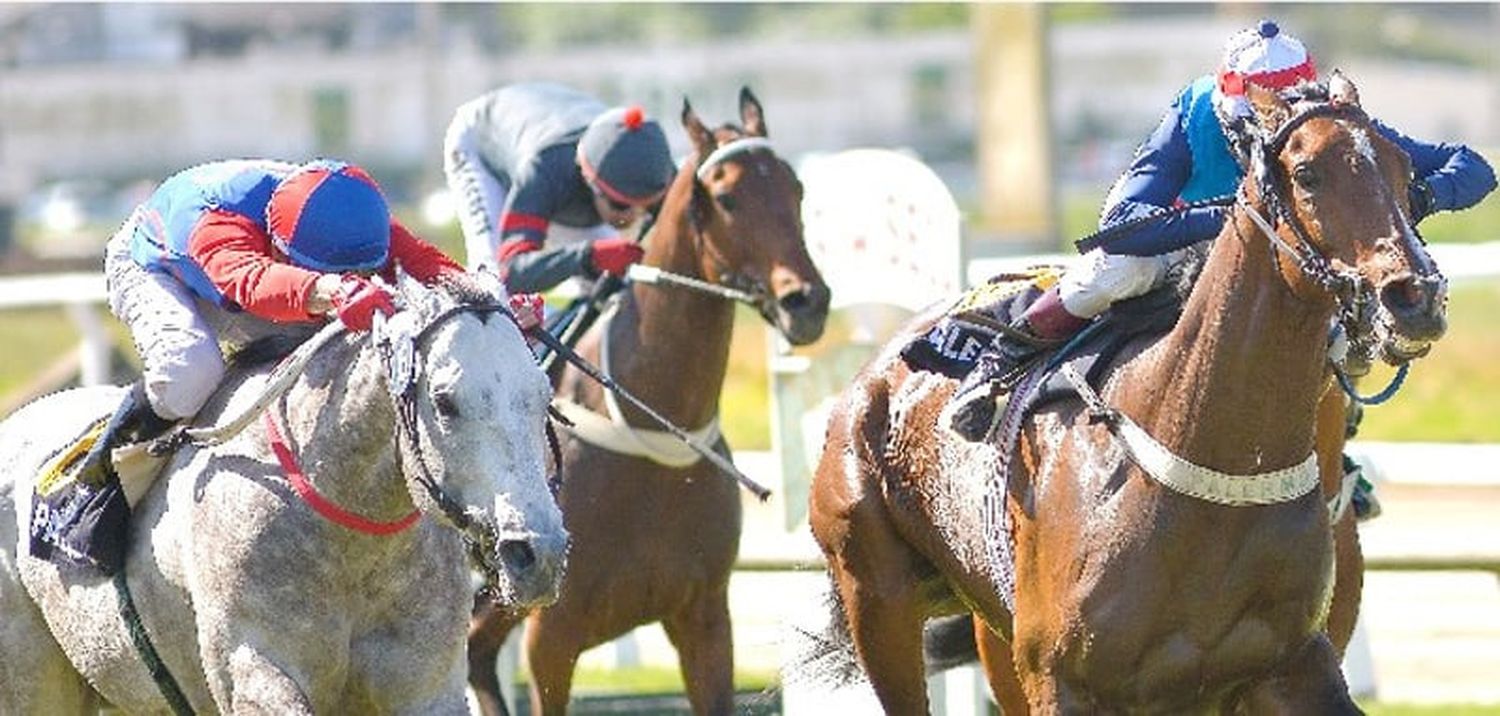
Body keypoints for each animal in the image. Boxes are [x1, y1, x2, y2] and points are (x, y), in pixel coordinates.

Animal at [0, 276, 567, 711]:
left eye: (543, 396)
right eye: (446, 402)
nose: (537, 553)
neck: (354, 542)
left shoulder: (426, 684)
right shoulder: (255, 669)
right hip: (35, 681)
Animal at [468, 87, 834, 714]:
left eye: (797, 188)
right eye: (727, 197)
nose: (805, 300)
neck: (655, 429)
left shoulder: (705, 617)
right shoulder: (553, 633)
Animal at [810, 75, 1440, 711]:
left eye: (1404, 168)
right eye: (1308, 172)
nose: (1414, 297)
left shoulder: (1292, 663)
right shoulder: (1061, 679)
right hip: (878, 597)